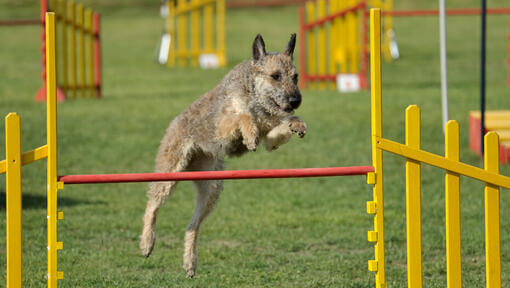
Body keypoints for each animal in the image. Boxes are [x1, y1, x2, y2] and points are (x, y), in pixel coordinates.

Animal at [138, 33, 306, 276]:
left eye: (296, 77)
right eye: (275, 76)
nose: (296, 101)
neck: (254, 94)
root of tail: (174, 123)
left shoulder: (270, 134)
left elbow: (277, 129)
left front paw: (296, 124)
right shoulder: (223, 126)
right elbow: (243, 116)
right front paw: (250, 135)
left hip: (211, 189)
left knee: (192, 226)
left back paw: (190, 262)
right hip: (169, 173)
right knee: (152, 206)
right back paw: (147, 243)